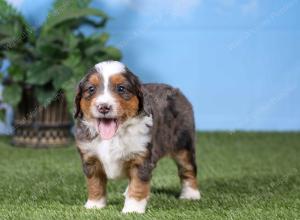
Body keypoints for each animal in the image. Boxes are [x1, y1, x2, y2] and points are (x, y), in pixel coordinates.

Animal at [73, 60, 200, 213]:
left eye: (121, 88)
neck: (114, 137)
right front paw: (94, 205)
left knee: (188, 169)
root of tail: (176, 90)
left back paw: (191, 194)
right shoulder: (90, 158)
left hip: (183, 144)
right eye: (91, 89)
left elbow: (138, 185)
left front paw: (132, 209)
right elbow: (95, 183)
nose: (104, 107)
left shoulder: (141, 157)